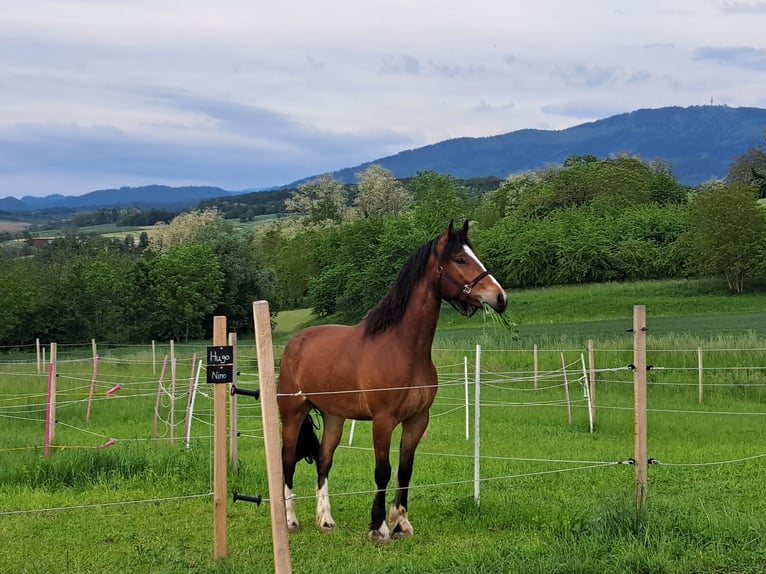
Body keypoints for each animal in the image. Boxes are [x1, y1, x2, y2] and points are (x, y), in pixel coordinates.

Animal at [280, 219, 508, 540]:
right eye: (460, 259)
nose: (500, 298)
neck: (402, 348)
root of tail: (295, 342)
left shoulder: (417, 421)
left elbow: (404, 470)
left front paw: (402, 523)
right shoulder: (383, 421)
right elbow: (383, 471)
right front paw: (379, 527)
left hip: (335, 417)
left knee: (324, 461)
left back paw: (325, 520)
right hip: (292, 414)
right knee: (287, 461)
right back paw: (289, 520)